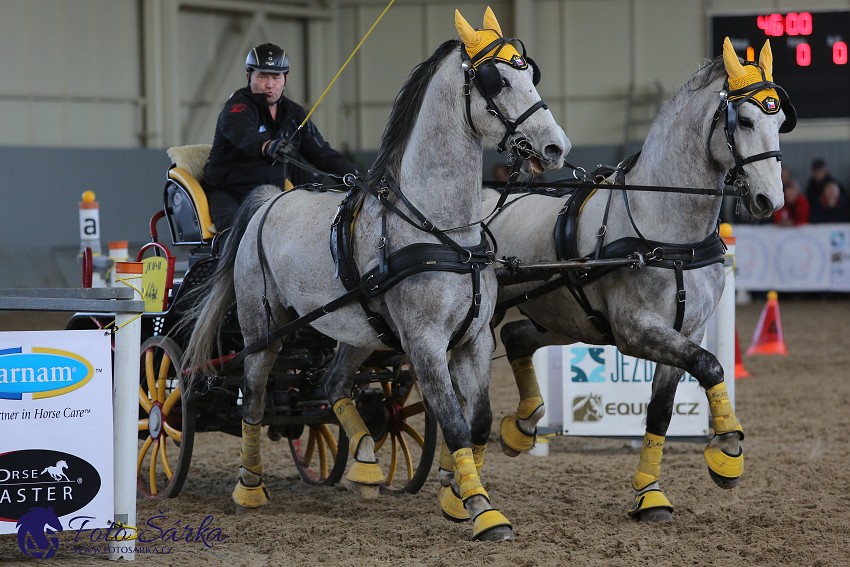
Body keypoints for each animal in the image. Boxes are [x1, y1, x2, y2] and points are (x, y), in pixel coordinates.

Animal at [181, 7, 568, 540]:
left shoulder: (473, 338)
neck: (442, 231)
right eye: (498, 80)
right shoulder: (425, 342)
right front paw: (485, 513)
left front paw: (457, 497)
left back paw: (364, 465)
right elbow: (452, 422)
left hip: (357, 331)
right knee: (254, 397)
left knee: (333, 384)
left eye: (532, 74)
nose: (555, 147)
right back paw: (249, 488)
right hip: (264, 326)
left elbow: (479, 421)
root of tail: (269, 201)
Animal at [480, 37, 792, 520]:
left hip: (563, 320)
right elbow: (711, 365)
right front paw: (727, 452)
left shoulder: (687, 329)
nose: (770, 199)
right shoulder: (636, 329)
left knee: (515, 338)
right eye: (743, 119)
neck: (667, 232)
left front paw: (650, 492)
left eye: (779, 121)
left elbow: (663, 407)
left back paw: (521, 427)